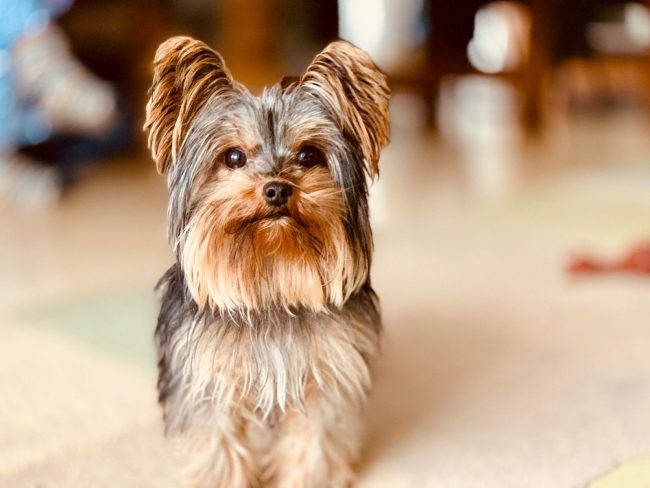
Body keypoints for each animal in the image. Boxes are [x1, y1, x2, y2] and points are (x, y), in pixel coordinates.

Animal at [144, 36, 390, 487]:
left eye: (309, 155)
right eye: (234, 158)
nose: (276, 189)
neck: (273, 275)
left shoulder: (326, 373)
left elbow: (314, 439)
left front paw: (311, 478)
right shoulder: (210, 378)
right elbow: (219, 443)